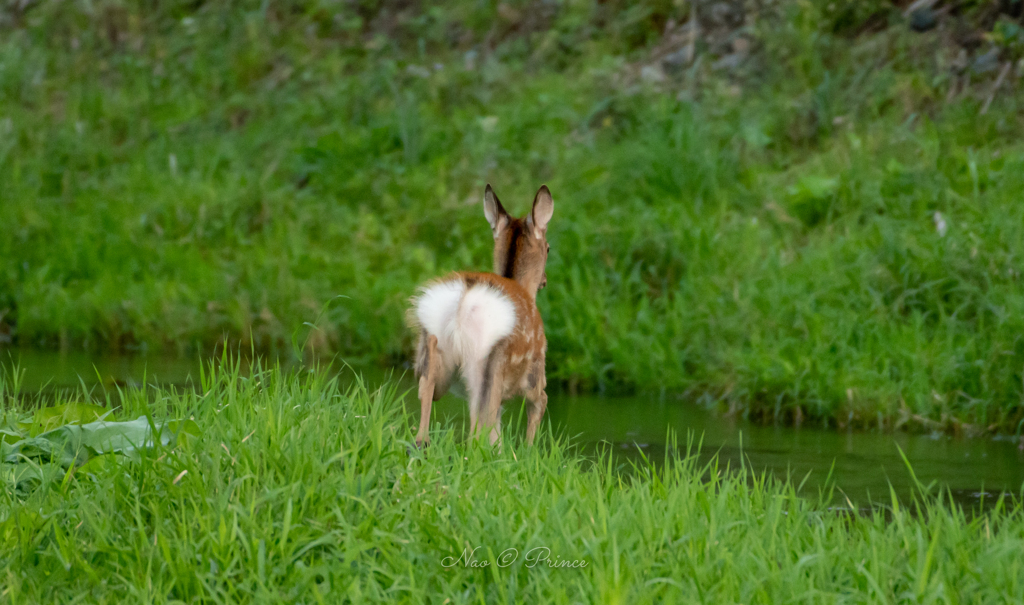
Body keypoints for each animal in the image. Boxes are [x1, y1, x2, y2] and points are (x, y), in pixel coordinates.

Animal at [407, 182, 557, 448]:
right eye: (548, 248)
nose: (545, 281)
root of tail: (464, 298)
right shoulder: (536, 368)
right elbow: (539, 403)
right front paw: (529, 452)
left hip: (433, 353)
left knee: (427, 394)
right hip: (488, 362)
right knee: (478, 427)